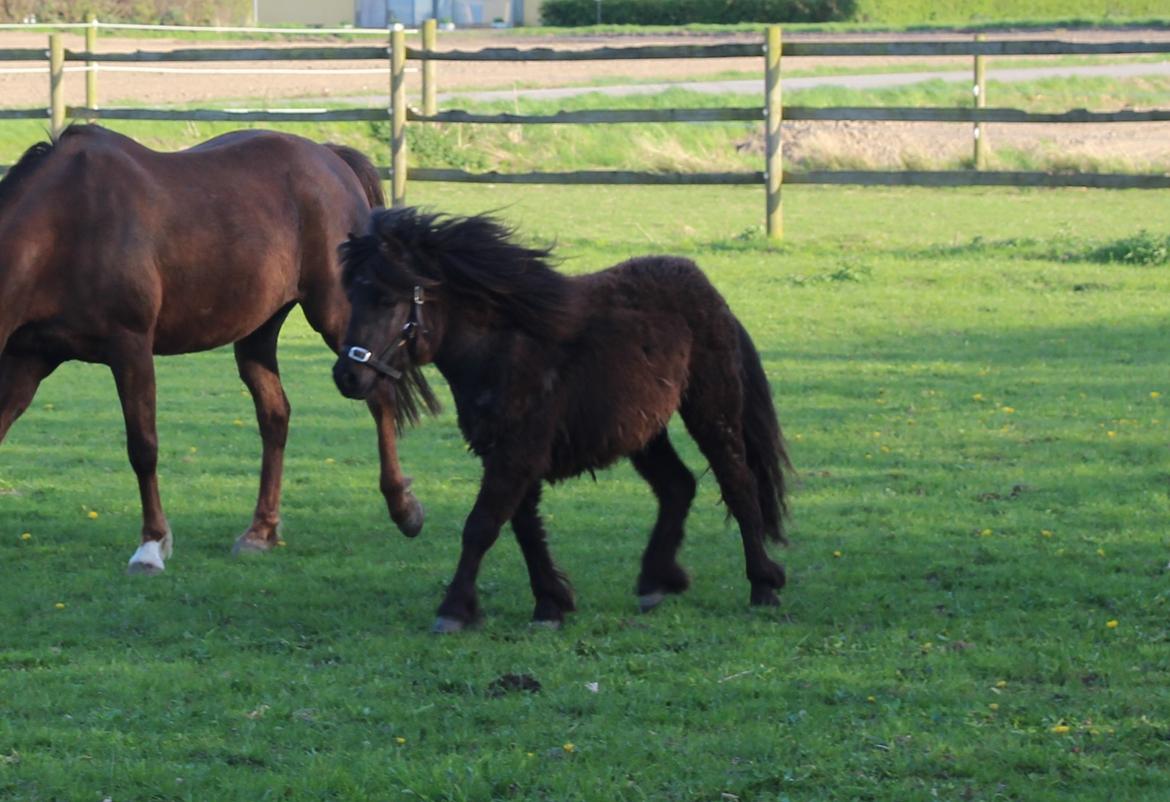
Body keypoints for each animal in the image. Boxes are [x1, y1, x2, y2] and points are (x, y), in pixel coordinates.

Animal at [0, 125, 435, 571]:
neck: (66, 225)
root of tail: (331, 158)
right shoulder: (27, 358)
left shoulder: (130, 348)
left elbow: (143, 446)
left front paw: (152, 545)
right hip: (259, 331)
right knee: (275, 416)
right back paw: (261, 531)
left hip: (338, 316)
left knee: (378, 395)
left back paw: (404, 508)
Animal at [329, 208, 790, 632]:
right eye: (350, 293)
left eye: (387, 299)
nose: (347, 376)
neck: (502, 348)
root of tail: (707, 290)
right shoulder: (505, 452)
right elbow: (524, 527)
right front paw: (551, 604)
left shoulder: (517, 454)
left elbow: (482, 525)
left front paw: (454, 610)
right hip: (643, 428)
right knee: (678, 485)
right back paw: (656, 581)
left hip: (711, 410)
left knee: (737, 483)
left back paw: (763, 584)